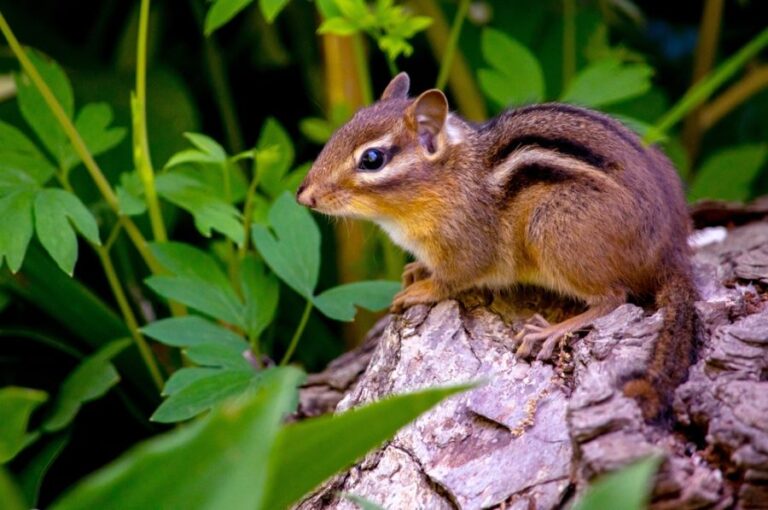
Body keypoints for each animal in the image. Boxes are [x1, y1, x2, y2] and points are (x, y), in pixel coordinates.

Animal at [297, 72, 698, 421]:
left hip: (552, 227)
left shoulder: (469, 247)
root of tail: (672, 250)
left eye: (372, 159)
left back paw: (550, 331)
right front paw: (416, 269)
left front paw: (422, 289)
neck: (450, 176)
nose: (303, 194)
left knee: (613, 298)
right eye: (344, 127)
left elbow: (452, 279)